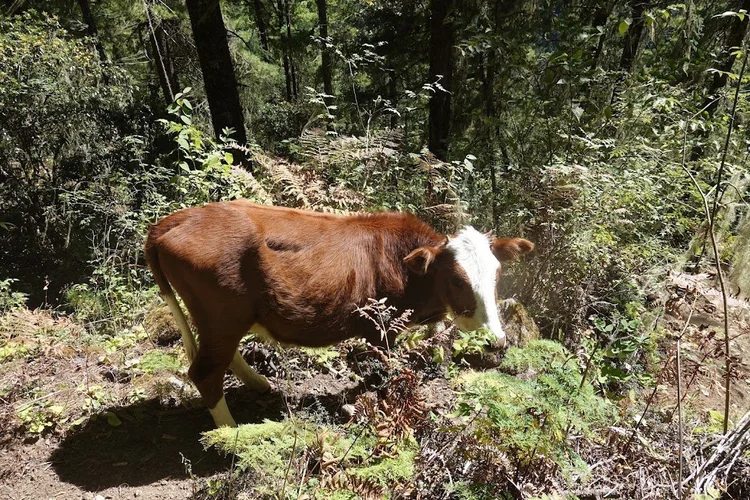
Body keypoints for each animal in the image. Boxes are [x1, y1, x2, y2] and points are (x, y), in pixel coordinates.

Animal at [144, 200, 534, 427]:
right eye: (456, 278)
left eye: (497, 273)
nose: (496, 341)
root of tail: (173, 219)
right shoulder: (379, 328)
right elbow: (382, 372)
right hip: (221, 316)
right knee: (205, 372)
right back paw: (231, 435)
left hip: (223, 320)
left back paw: (258, 383)